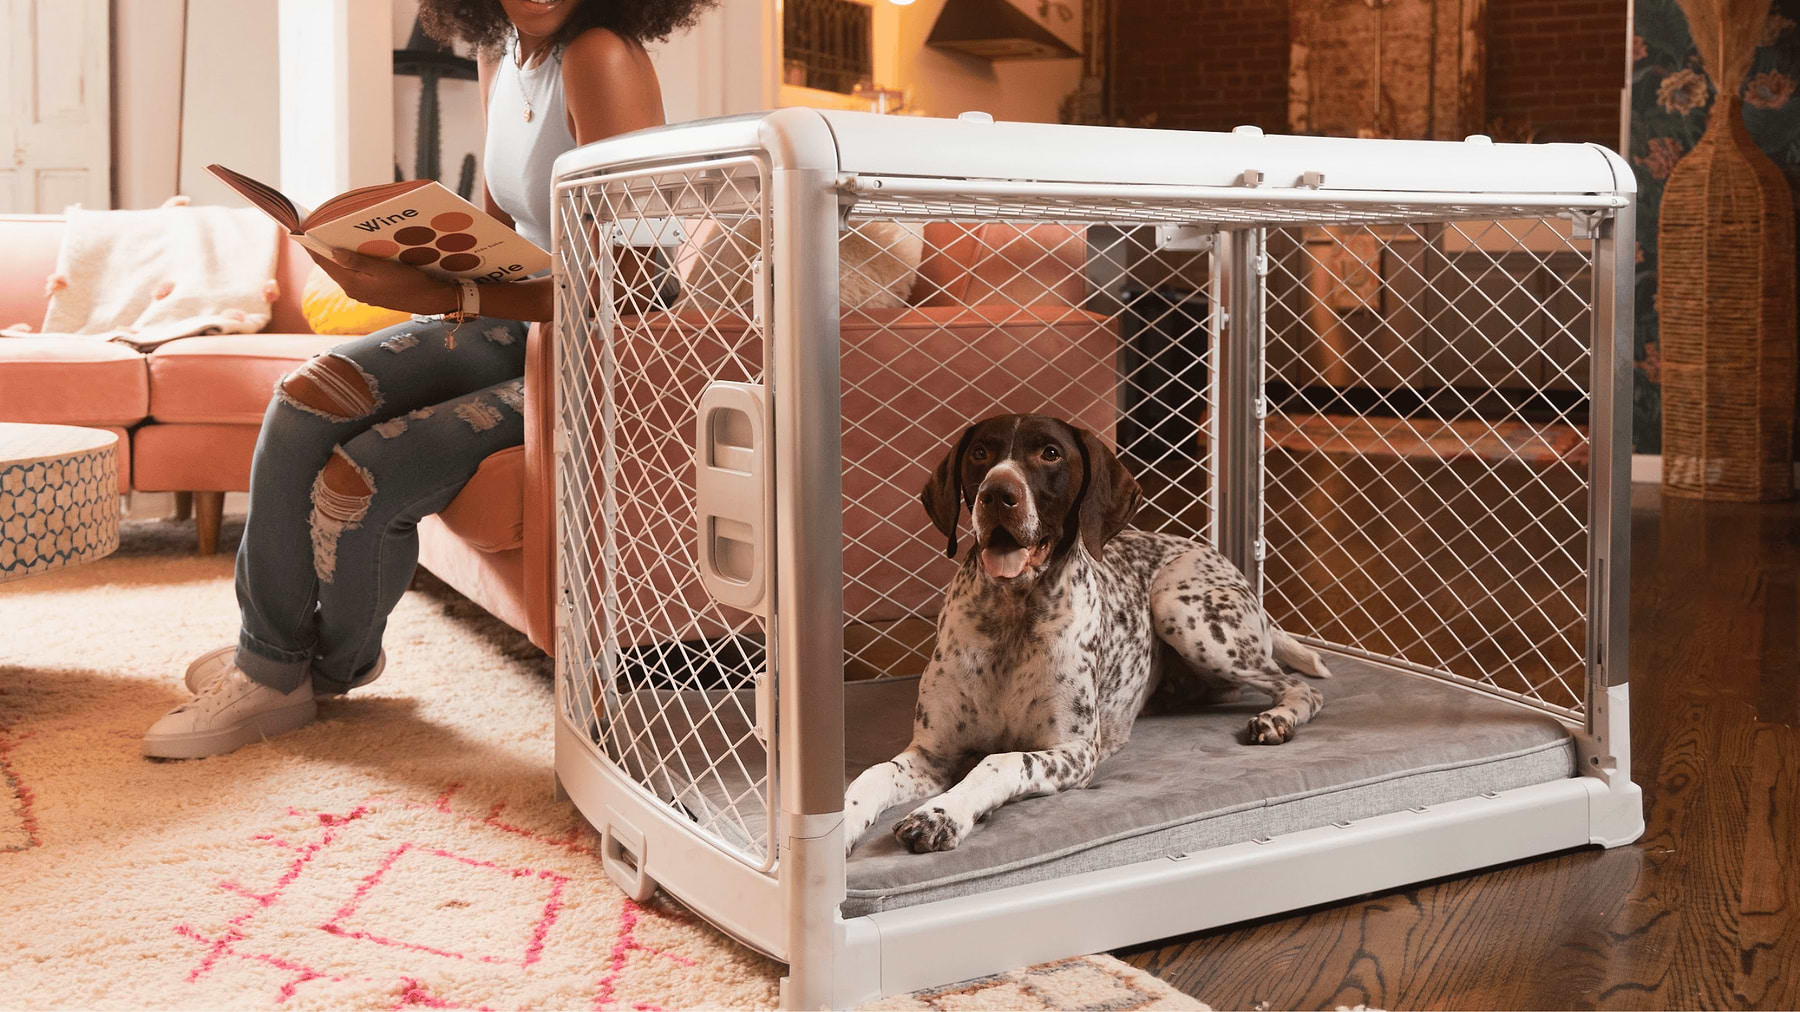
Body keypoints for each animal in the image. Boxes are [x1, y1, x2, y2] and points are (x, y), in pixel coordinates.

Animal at [835, 412, 1332, 849]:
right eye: (980, 453)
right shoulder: (932, 754)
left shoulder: (1072, 752)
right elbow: (870, 776)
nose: (997, 494)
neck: (1011, 618)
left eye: (1050, 453)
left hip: (1182, 611)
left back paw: (1276, 720)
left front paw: (940, 815)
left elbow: (997, 763)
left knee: (1299, 687)